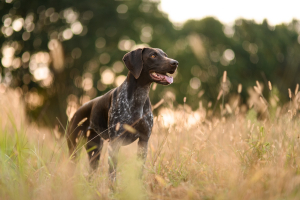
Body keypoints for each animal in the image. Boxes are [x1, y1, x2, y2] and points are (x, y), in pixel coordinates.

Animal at [66, 47, 178, 181]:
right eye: (153, 55)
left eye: (165, 55)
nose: (175, 63)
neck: (139, 96)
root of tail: (76, 112)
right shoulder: (115, 142)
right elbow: (112, 174)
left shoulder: (143, 141)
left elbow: (139, 170)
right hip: (74, 149)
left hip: (95, 150)